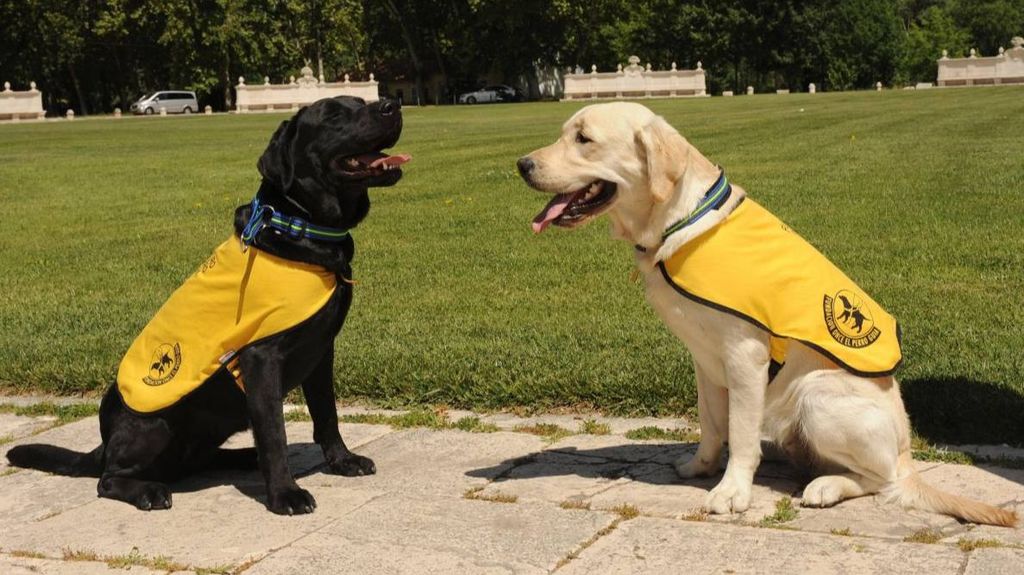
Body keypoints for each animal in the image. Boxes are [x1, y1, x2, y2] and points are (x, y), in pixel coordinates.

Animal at [9, 96, 407, 511]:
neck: (300, 226)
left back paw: (244, 457)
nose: (392, 105)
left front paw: (343, 461)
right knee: (108, 480)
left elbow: (327, 414)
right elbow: (275, 432)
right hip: (155, 425)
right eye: (333, 115)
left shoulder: (321, 351)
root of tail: (104, 443)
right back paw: (148, 490)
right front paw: (285, 494)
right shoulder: (261, 359)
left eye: (361, 102)